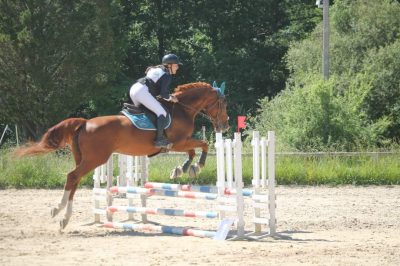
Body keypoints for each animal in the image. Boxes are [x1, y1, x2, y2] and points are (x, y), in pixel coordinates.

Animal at [14, 82, 228, 230]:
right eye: (222, 103)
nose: (225, 125)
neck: (182, 109)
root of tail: (84, 123)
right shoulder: (178, 142)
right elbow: (202, 145)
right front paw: (195, 167)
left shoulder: (179, 144)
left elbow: (193, 151)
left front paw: (182, 169)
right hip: (95, 159)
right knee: (72, 176)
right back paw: (60, 212)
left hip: (84, 158)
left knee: (74, 180)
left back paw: (63, 218)